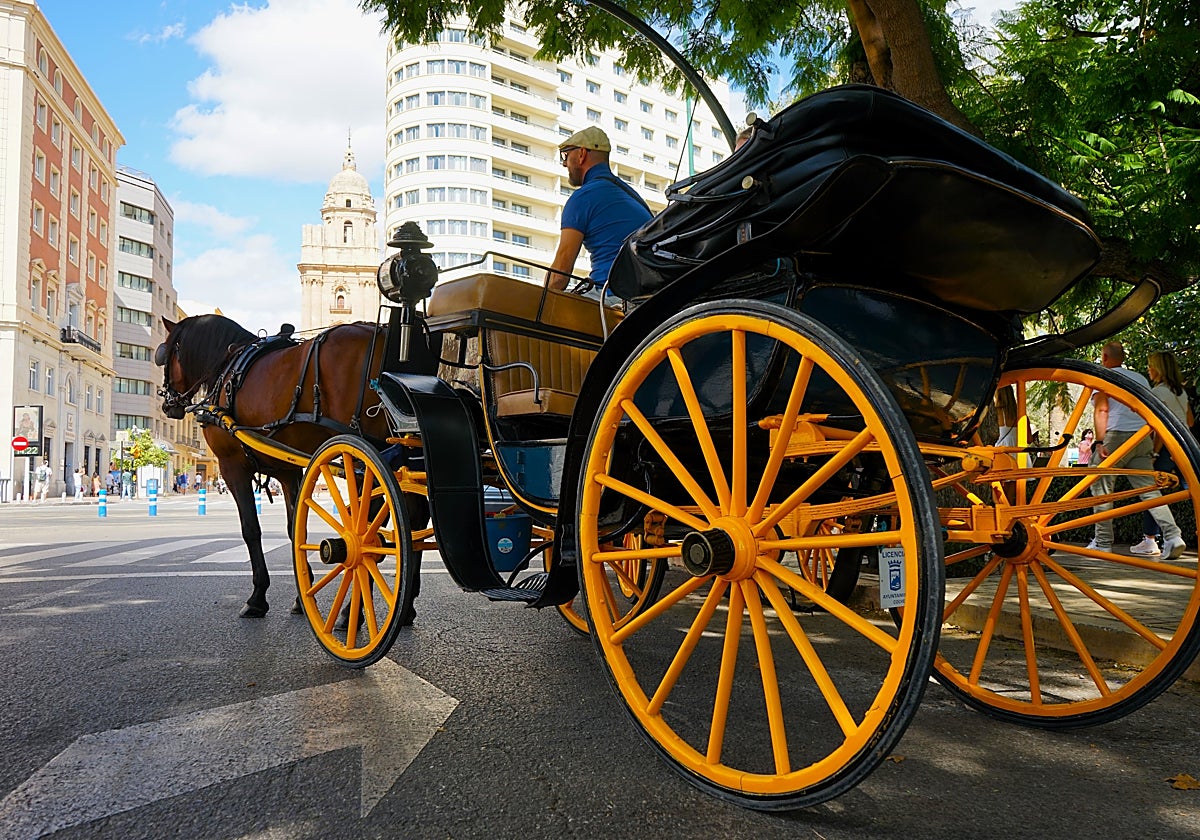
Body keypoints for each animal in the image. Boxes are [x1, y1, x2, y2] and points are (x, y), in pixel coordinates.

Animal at [155, 313, 429, 620]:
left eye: (165, 354)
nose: (167, 403)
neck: (227, 370)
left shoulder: (232, 466)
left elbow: (251, 529)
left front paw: (257, 597)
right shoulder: (287, 472)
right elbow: (294, 527)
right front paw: (301, 596)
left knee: (373, 525)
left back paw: (352, 609)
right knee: (415, 516)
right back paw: (405, 606)